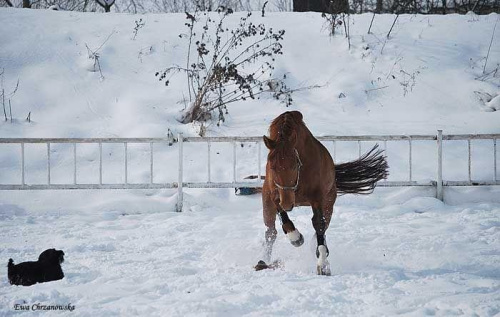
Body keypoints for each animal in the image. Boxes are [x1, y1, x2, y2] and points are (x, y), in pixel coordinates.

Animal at [256, 111, 388, 274]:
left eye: (294, 164)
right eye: (272, 167)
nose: (287, 203)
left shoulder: (317, 199)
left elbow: (319, 224)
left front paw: (323, 264)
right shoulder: (274, 195)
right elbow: (283, 218)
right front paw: (296, 238)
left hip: (329, 204)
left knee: (322, 228)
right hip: (267, 206)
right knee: (271, 232)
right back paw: (264, 262)